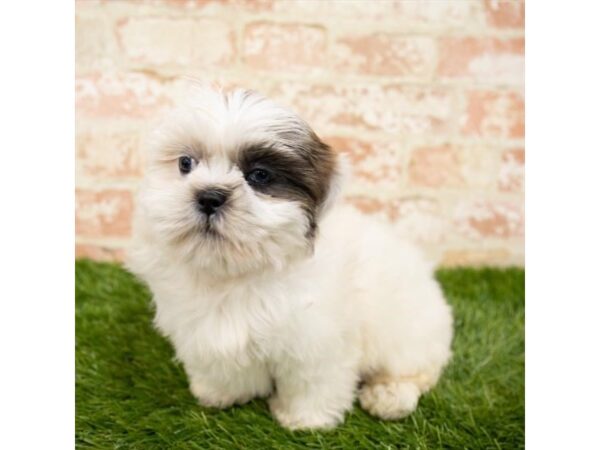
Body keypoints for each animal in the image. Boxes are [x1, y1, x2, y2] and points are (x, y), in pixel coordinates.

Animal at [129, 85, 452, 428]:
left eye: (259, 176)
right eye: (186, 164)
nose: (209, 196)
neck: (237, 272)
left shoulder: (317, 339)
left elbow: (312, 379)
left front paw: (305, 419)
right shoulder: (204, 329)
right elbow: (223, 368)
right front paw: (220, 394)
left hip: (410, 333)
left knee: (417, 372)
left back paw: (390, 396)